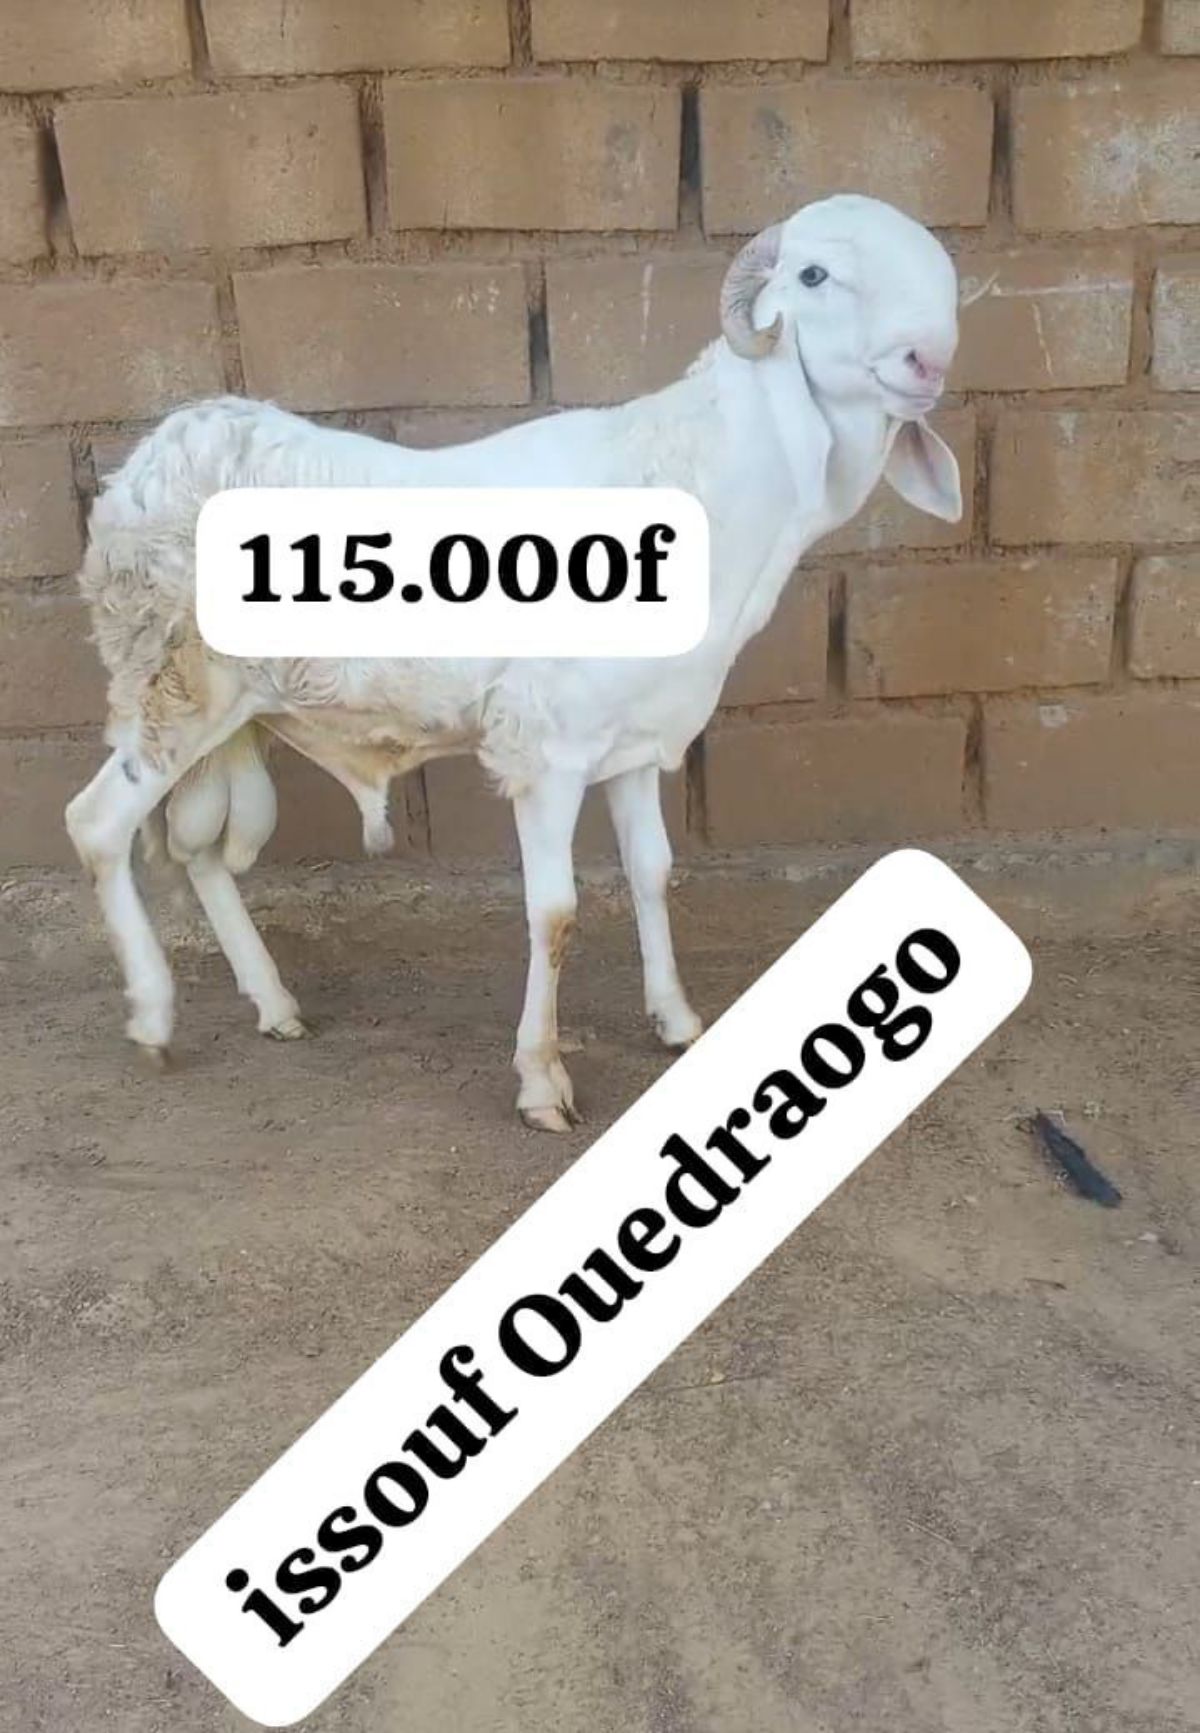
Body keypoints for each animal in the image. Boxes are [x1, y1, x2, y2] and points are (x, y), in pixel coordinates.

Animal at [66, 194, 963, 1132]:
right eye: (814, 275)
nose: (928, 361)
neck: (703, 480)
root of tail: (156, 457)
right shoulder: (547, 749)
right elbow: (555, 911)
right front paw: (542, 1080)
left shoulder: (631, 741)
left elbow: (653, 873)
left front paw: (676, 1019)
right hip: (169, 689)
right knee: (99, 825)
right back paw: (154, 1017)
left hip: (232, 713)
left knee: (197, 851)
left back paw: (274, 1005)